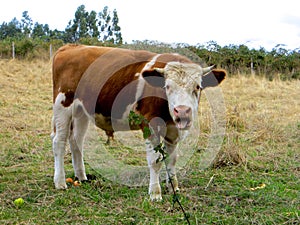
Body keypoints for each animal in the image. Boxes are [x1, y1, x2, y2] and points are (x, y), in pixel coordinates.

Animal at [51, 44, 225, 200]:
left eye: (198, 87)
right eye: (167, 86)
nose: (182, 111)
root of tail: (72, 46)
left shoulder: (173, 130)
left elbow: (172, 159)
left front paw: (173, 187)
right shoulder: (150, 125)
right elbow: (155, 161)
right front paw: (155, 193)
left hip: (81, 111)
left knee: (76, 141)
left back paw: (81, 176)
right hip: (62, 105)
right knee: (59, 141)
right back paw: (60, 182)